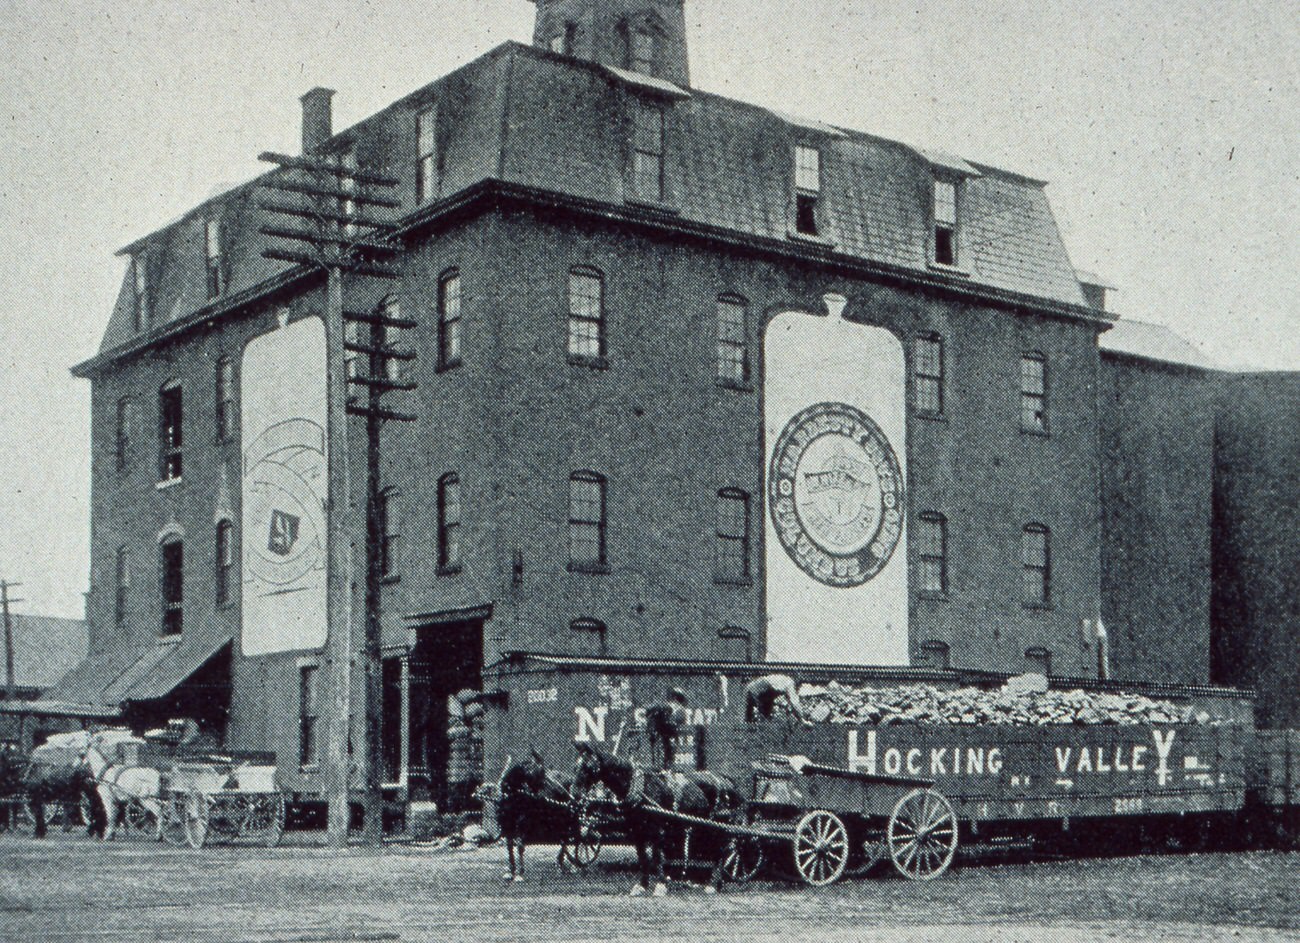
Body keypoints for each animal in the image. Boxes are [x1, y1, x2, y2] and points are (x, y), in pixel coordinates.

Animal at [480, 749, 595, 879]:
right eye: (540, 773)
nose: (561, 791)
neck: (511, 798)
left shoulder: (524, 823)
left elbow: (520, 845)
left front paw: (519, 873)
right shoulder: (506, 825)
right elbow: (509, 846)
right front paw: (510, 870)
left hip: (571, 817)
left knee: (575, 837)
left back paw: (576, 865)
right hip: (558, 819)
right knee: (564, 837)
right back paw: (561, 863)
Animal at [572, 738, 743, 894]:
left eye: (588, 766)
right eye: (576, 766)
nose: (575, 793)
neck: (642, 788)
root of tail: (725, 780)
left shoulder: (658, 830)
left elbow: (657, 856)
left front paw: (660, 885)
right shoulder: (637, 831)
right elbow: (643, 858)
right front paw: (642, 885)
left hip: (718, 825)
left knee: (722, 851)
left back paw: (713, 883)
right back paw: (715, 882)